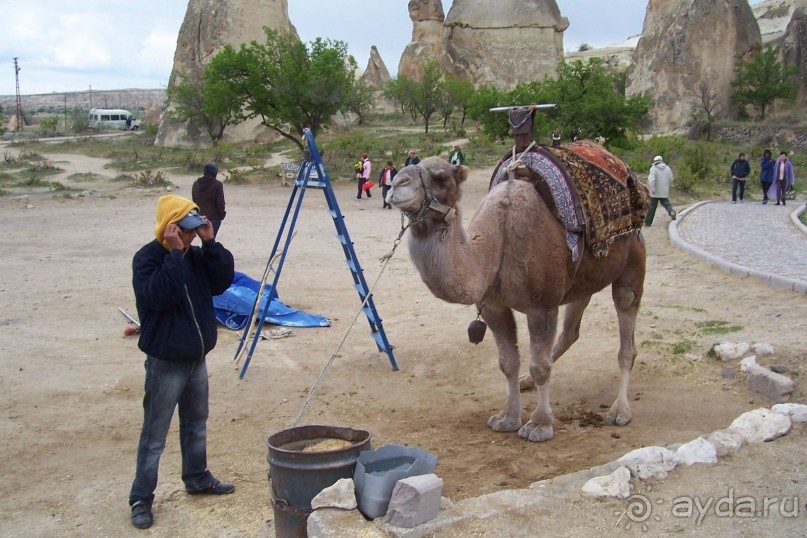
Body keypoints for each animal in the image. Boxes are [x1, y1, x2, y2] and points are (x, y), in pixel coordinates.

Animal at [386, 155, 644, 440]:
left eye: (440, 177)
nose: (397, 183)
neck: (496, 246)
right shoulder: (493, 307)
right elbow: (508, 363)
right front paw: (507, 418)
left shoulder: (542, 306)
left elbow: (539, 366)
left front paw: (540, 424)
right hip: (582, 281)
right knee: (570, 332)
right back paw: (527, 383)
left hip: (632, 260)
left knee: (626, 332)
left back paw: (620, 411)